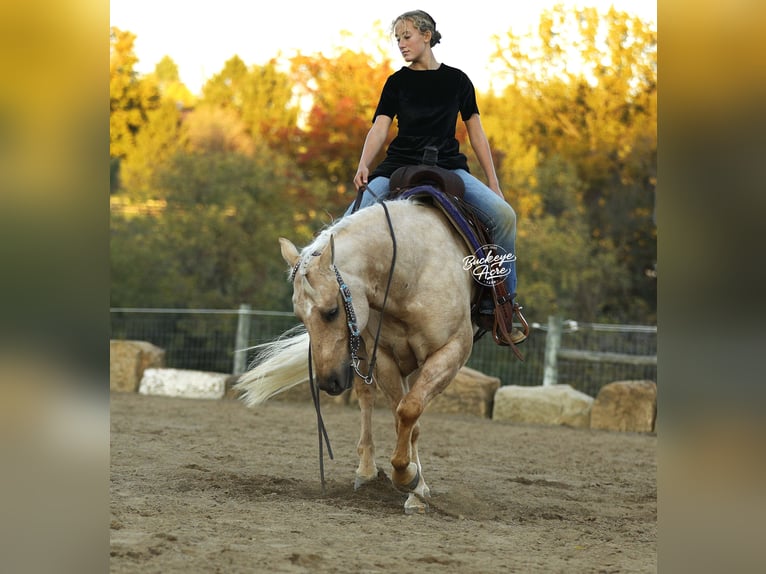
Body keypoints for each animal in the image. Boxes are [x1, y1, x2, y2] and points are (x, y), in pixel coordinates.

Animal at [236, 198, 482, 514]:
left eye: (332, 311)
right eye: (300, 318)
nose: (327, 382)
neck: (411, 272)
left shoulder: (452, 351)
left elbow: (409, 411)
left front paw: (411, 482)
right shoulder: (385, 357)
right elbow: (401, 415)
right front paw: (410, 480)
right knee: (367, 397)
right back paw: (366, 470)